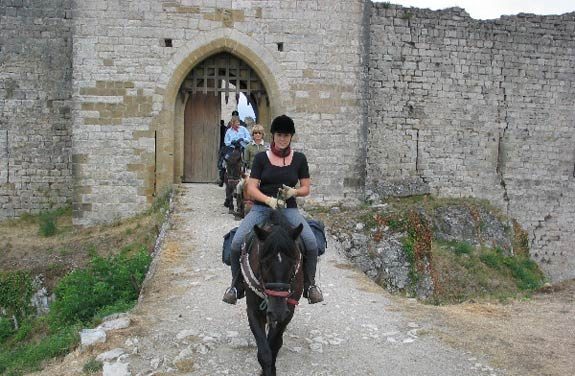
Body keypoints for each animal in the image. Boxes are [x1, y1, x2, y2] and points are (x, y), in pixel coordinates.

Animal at [241, 212, 306, 376]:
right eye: (264, 263)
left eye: (294, 263)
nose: (277, 311)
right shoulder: (253, 311)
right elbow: (265, 353)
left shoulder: (288, 312)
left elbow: (274, 345)